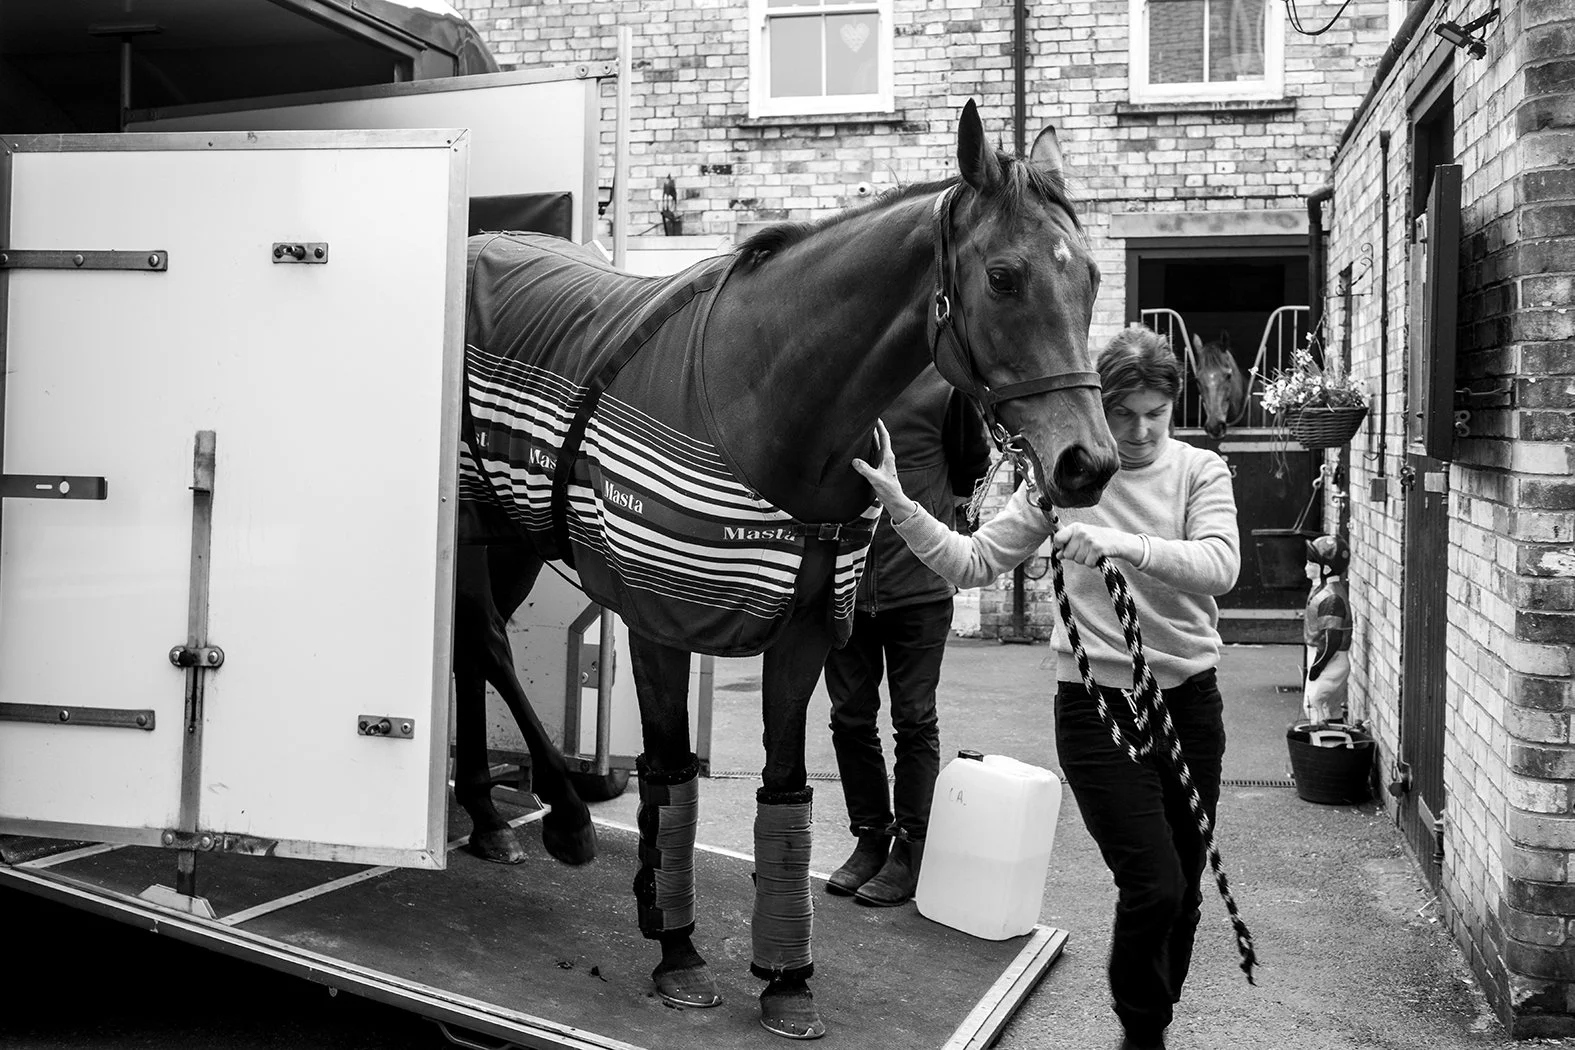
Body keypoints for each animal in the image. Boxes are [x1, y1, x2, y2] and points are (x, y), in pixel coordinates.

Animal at [450, 99, 1120, 1040]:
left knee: (472, 647)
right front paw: (678, 948)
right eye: (1001, 277)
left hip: (509, 533)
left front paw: (786, 977)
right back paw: (565, 817)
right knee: (482, 641)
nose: (1086, 464)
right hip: (472, 527)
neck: (761, 395)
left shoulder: (803, 633)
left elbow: (785, 786)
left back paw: (486, 816)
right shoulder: (658, 624)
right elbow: (667, 774)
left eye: (1090, 276)